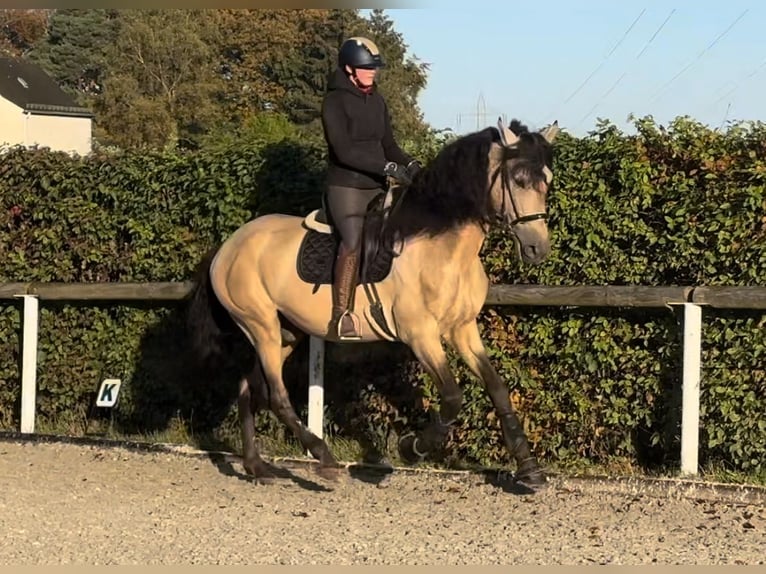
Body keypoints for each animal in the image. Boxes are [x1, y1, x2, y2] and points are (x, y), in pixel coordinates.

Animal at [184, 117, 560, 490]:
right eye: (519, 179)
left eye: (547, 182)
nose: (537, 248)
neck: (440, 245)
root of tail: (228, 246)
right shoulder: (420, 335)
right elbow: (453, 397)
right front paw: (412, 448)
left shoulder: (462, 329)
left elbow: (497, 388)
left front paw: (529, 470)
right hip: (260, 326)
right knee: (276, 396)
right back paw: (324, 460)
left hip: (285, 333)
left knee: (249, 388)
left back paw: (256, 466)